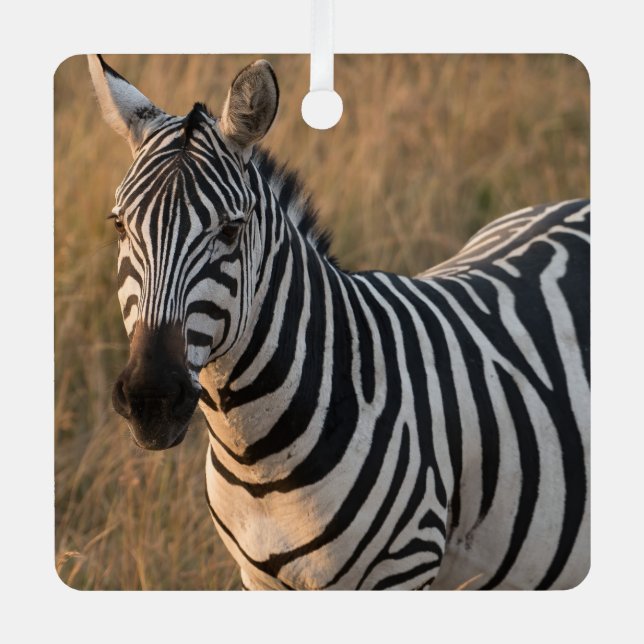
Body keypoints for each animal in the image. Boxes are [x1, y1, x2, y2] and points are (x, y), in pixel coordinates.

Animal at [88, 54, 590, 590]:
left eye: (230, 229)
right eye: (119, 224)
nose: (151, 400)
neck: (258, 462)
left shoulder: (404, 566)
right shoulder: (255, 577)